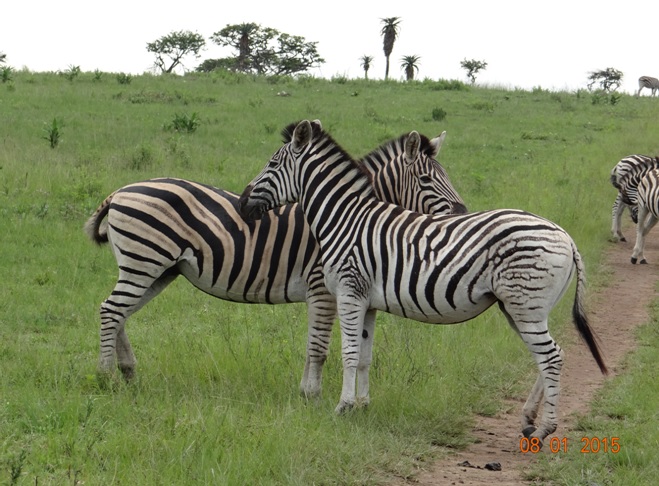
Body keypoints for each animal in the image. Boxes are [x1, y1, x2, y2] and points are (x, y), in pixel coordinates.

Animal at [85, 123, 466, 396]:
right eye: (427, 178)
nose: (462, 212)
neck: (345, 213)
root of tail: (119, 192)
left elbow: (315, 344)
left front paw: (306, 392)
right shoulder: (322, 288)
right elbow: (319, 346)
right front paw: (312, 396)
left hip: (157, 269)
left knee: (119, 312)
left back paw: (128, 373)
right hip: (144, 262)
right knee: (110, 310)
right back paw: (105, 377)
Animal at [237, 118, 608, 444]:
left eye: (272, 163)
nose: (242, 204)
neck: (345, 218)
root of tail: (566, 237)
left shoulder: (349, 292)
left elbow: (349, 353)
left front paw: (342, 407)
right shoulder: (368, 302)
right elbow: (366, 356)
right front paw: (362, 407)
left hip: (525, 306)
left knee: (552, 357)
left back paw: (545, 429)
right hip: (521, 308)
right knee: (549, 355)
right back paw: (529, 420)